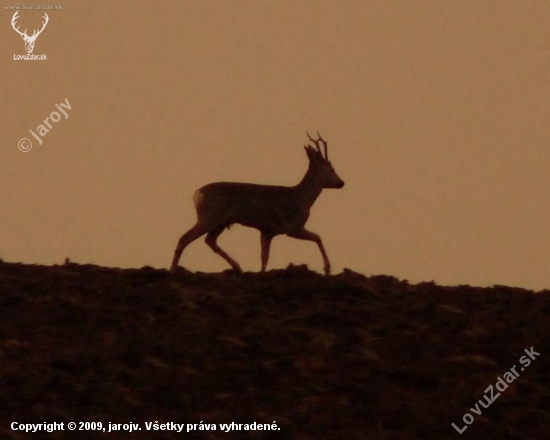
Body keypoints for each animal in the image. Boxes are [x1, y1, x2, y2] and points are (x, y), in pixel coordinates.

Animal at [170, 131, 348, 276]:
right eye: (331, 169)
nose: (341, 183)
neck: (301, 199)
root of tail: (196, 194)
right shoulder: (291, 226)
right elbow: (318, 237)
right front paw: (327, 268)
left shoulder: (267, 230)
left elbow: (264, 256)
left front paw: (262, 273)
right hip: (209, 216)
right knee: (184, 238)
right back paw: (172, 271)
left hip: (221, 221)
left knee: (210, 241)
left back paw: (238, 267)